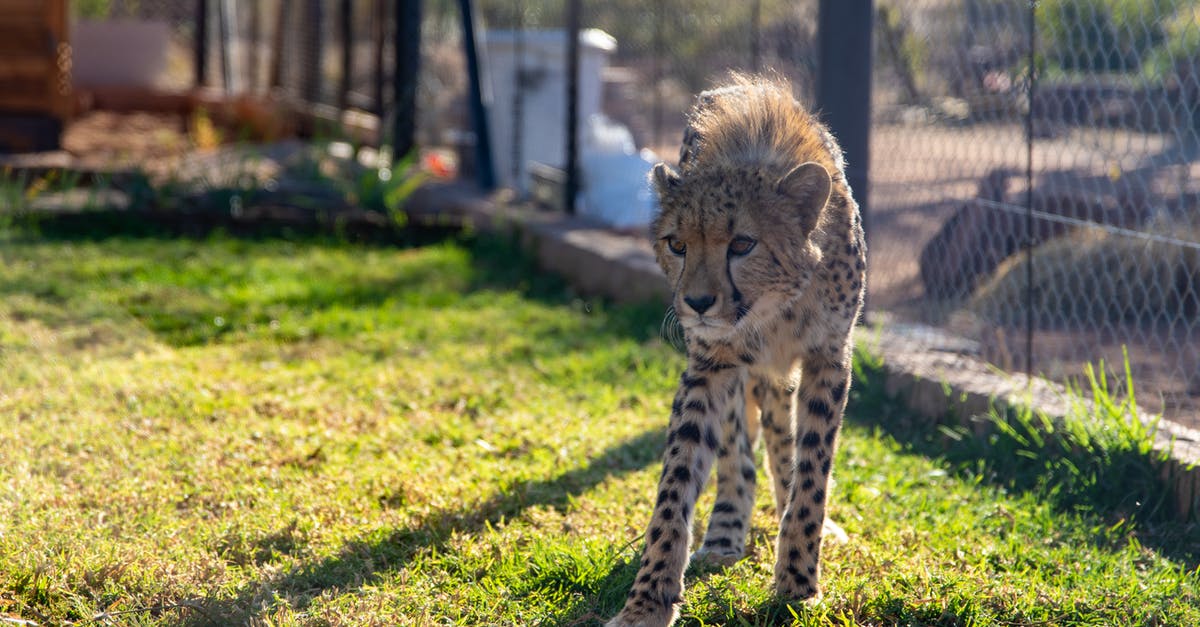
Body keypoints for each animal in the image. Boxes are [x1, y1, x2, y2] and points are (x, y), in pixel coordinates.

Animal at [606, 74, 866, 627]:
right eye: (677, 245)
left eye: (743, 244)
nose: (698, 303)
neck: (776, 306)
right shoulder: (709, 364)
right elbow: (678, 480)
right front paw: (647, 601)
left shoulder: (828, 359)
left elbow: (812, 471)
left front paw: (797, 584)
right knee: (737, 453)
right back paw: (726, 532)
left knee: (781, 439)